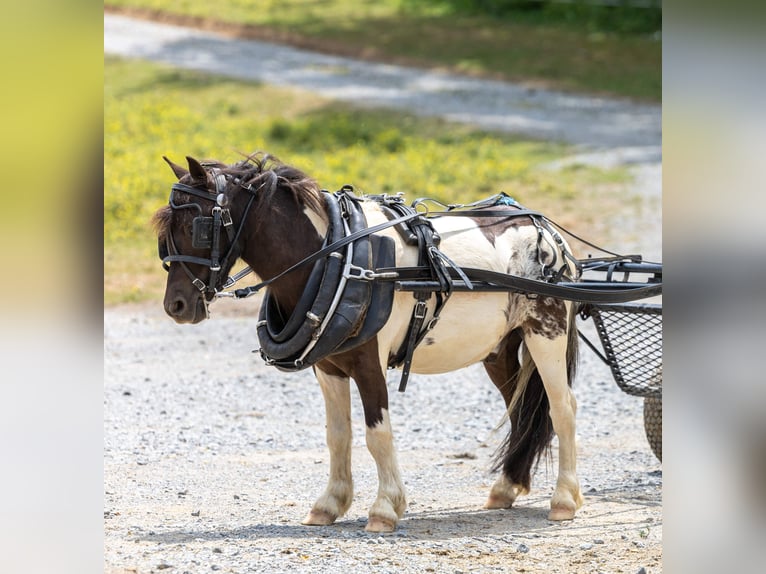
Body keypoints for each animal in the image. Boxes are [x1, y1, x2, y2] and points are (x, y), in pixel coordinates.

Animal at [152, 153, 582, 532]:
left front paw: (385, 509)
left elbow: (378, 434)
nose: (176, 306)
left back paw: (564, 499)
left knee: (562, 408)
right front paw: (329, 504)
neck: (337, 257)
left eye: (196, 226)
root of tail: (550, 237)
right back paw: (507, 487)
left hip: (547, 332)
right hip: (499, 349)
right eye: (163, 234)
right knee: (522, 409)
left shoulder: (369, 364)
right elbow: (337, 436)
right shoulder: (328, 368)